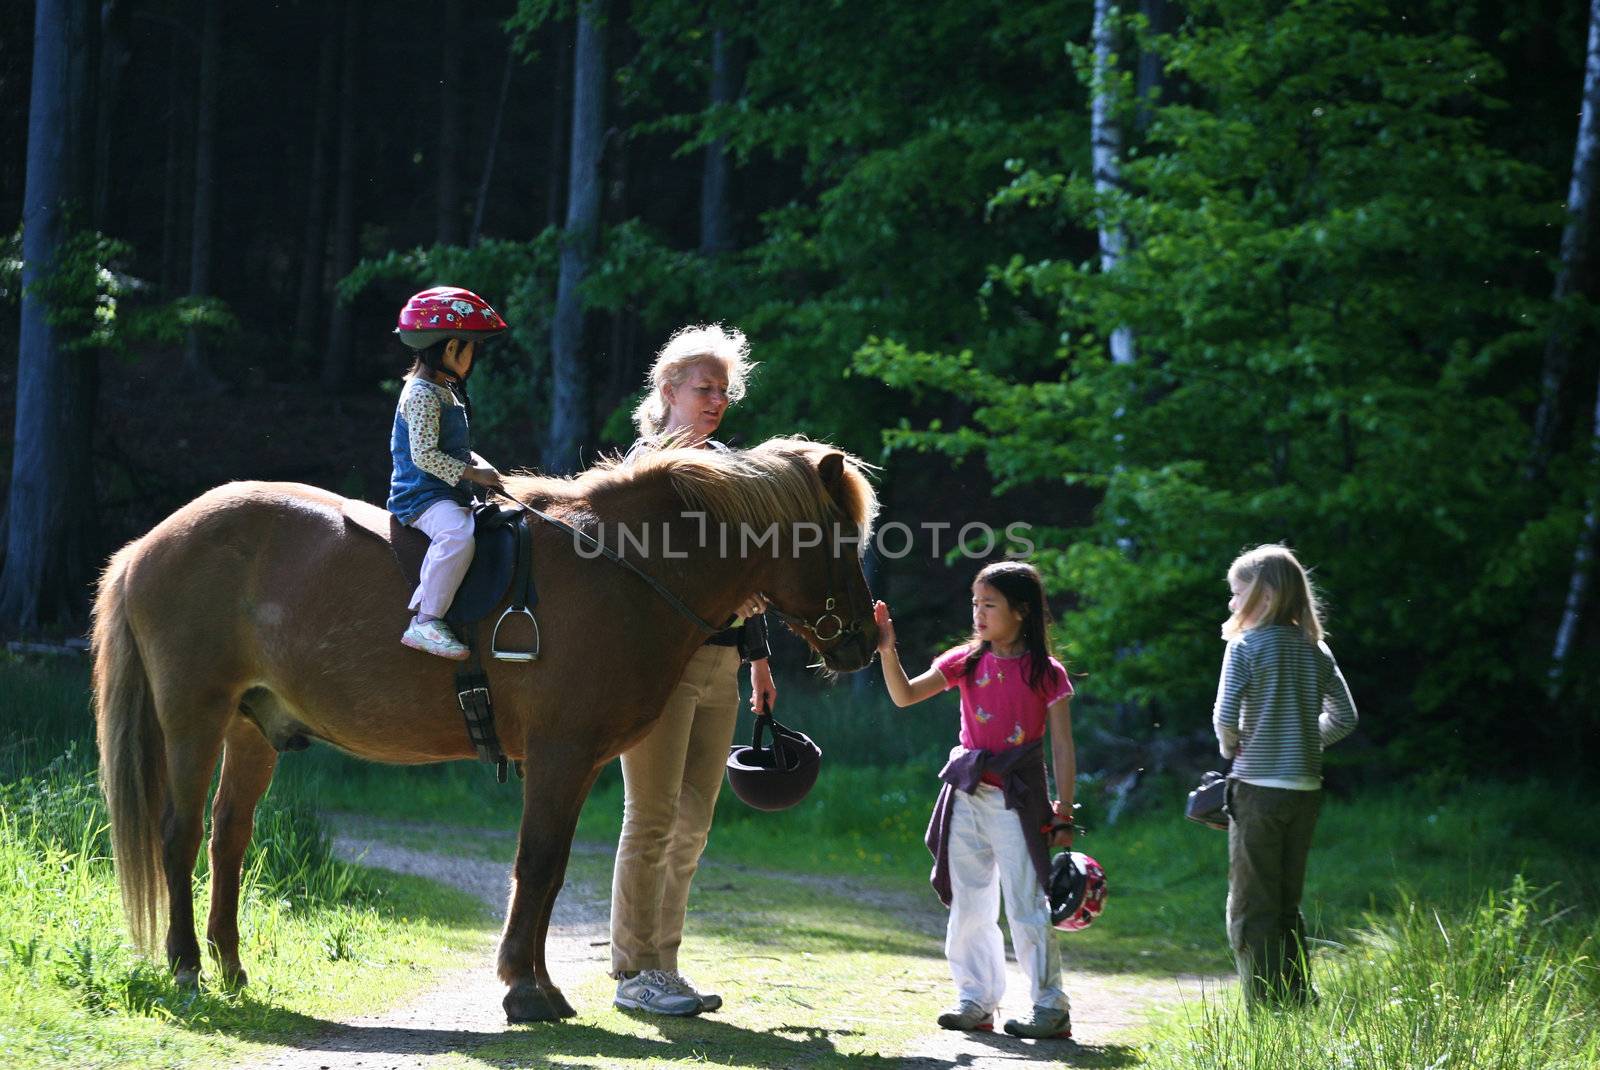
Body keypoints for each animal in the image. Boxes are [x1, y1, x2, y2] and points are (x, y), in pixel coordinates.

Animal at [93, 435, 883, 1017]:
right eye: (837, 538)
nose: (864, 642)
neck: (622, 568)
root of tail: (150, 545)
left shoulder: (574, 765)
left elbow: (551, 873)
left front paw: (538, 983)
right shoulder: (561, 756)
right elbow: (536, 865)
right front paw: (526, 988)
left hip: (250, 730)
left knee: (228, 841)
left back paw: (230, 965)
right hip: (194, 718)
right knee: (179, 834)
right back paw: (187, 967)